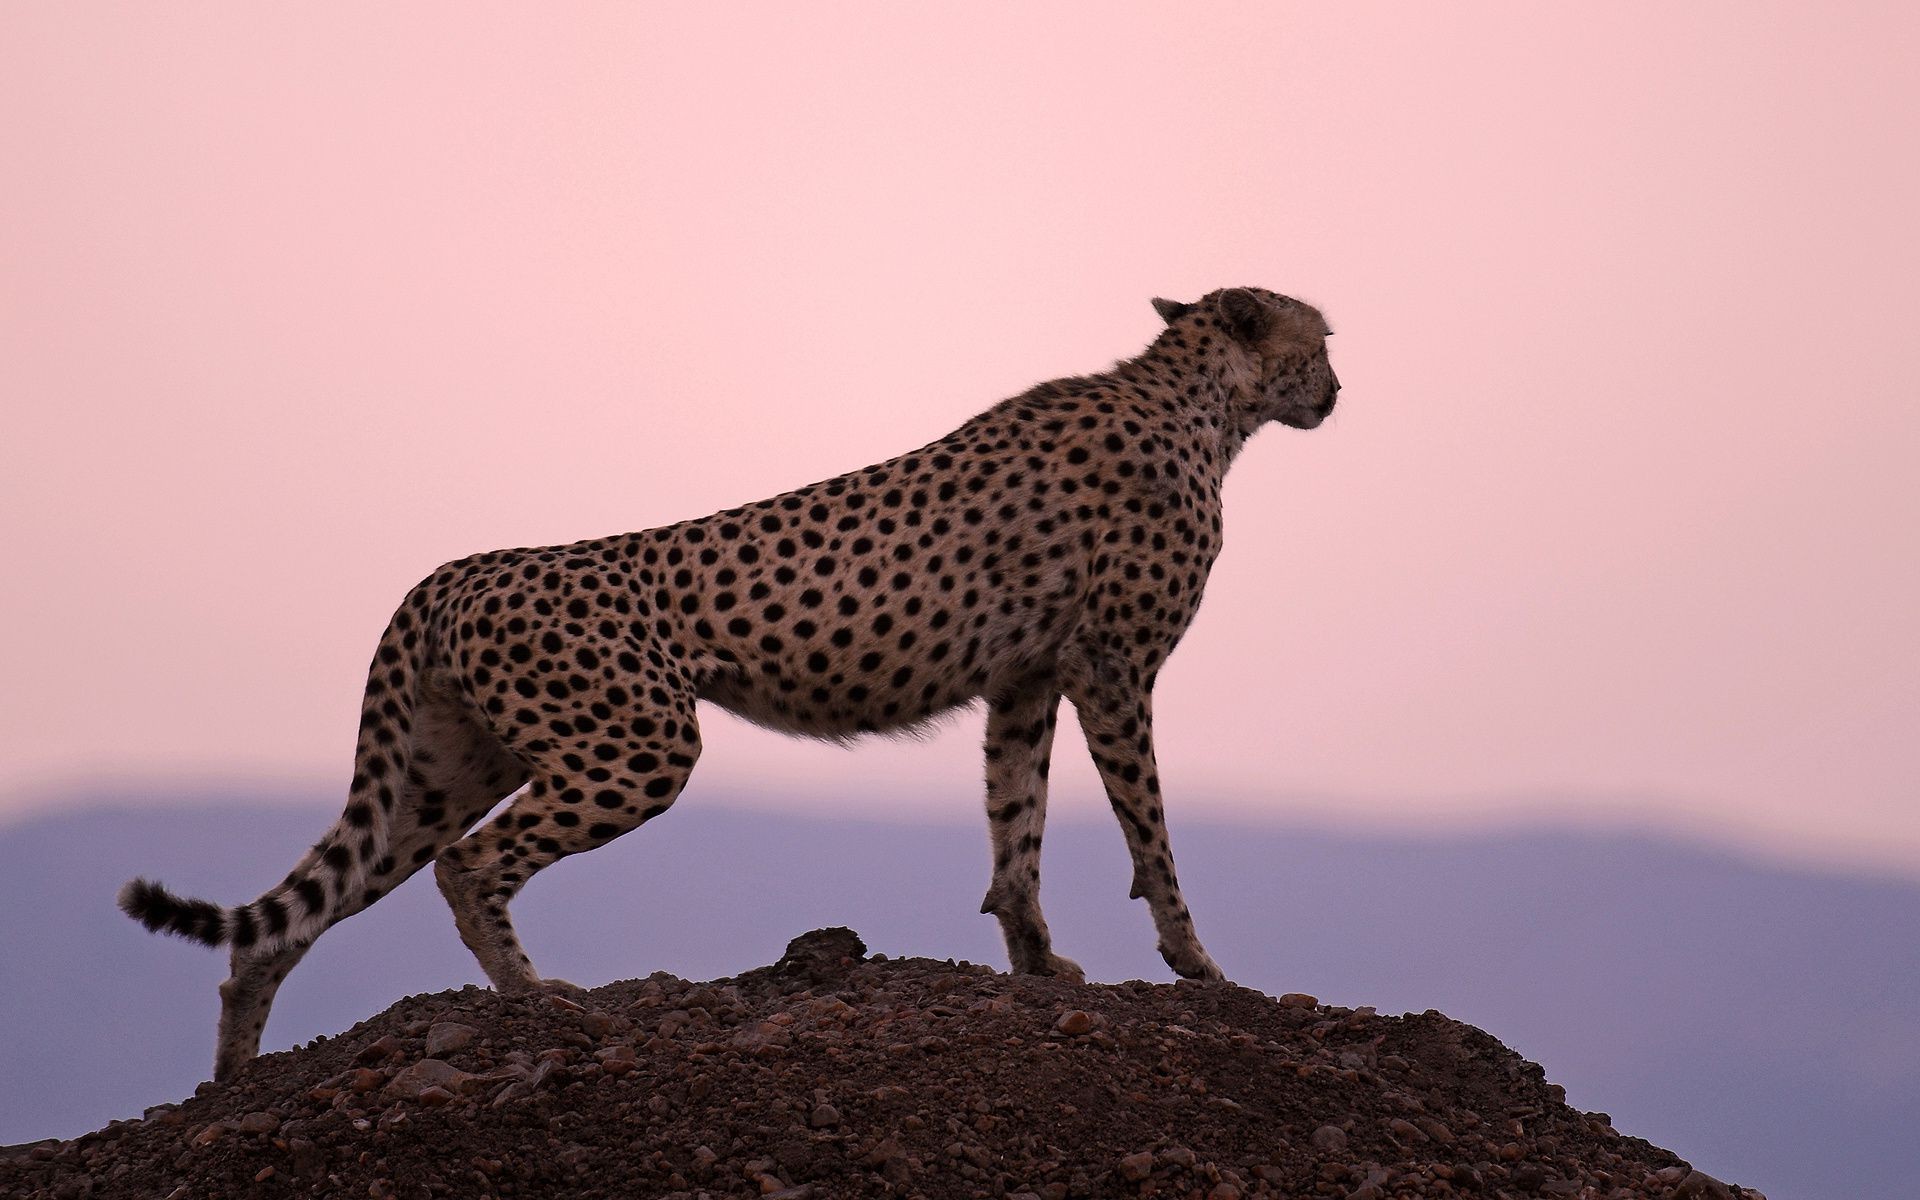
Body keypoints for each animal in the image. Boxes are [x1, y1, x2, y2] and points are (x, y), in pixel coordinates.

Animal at [120, 282, 1344, 1075]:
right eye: (1322, 338)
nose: (1338, 389)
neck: (1201, 402)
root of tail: (455, 568)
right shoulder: (1112, 668)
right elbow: (1150, 832)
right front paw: (1196, 963)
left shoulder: (1025, 680)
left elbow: (1017, 830)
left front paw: (1038, 963)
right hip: (638, 743)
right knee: (471, 866)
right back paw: (534, 1001)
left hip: (443, 770)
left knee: (286, 919)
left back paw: (232, 1079)